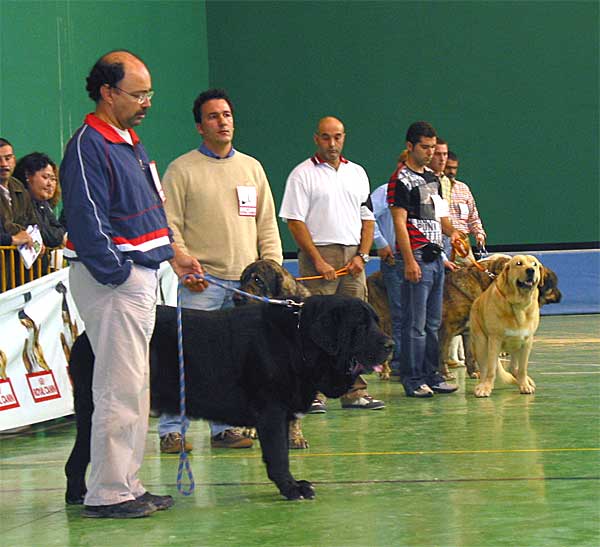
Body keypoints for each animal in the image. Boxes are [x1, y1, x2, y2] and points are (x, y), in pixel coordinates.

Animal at [67, 296, 394, 500]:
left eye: (376, 321)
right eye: (360, 326)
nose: (390, 344)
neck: (299, 341)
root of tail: (83, 337)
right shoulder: (271, 412)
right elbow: (279, 456)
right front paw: (292, 488)